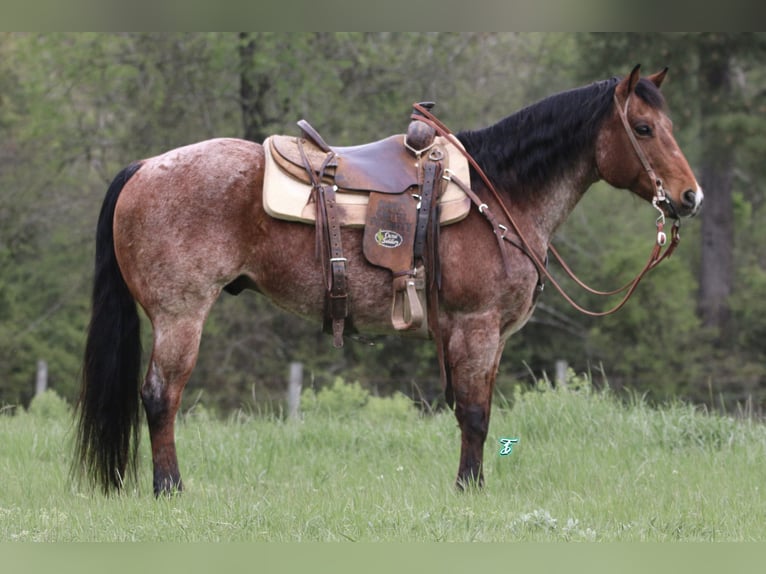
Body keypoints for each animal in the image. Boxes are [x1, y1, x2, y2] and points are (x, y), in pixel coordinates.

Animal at [75, 65, 704, 498]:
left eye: (668, 125)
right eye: (643, 127)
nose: (690, 196)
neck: (497, 192)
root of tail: (145, 168)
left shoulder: (492, 338)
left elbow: (479, 409)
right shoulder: (475, 327)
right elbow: (474, 414)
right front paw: (468, 492)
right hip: (180, 315)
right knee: (161, 396)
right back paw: (170, 489)